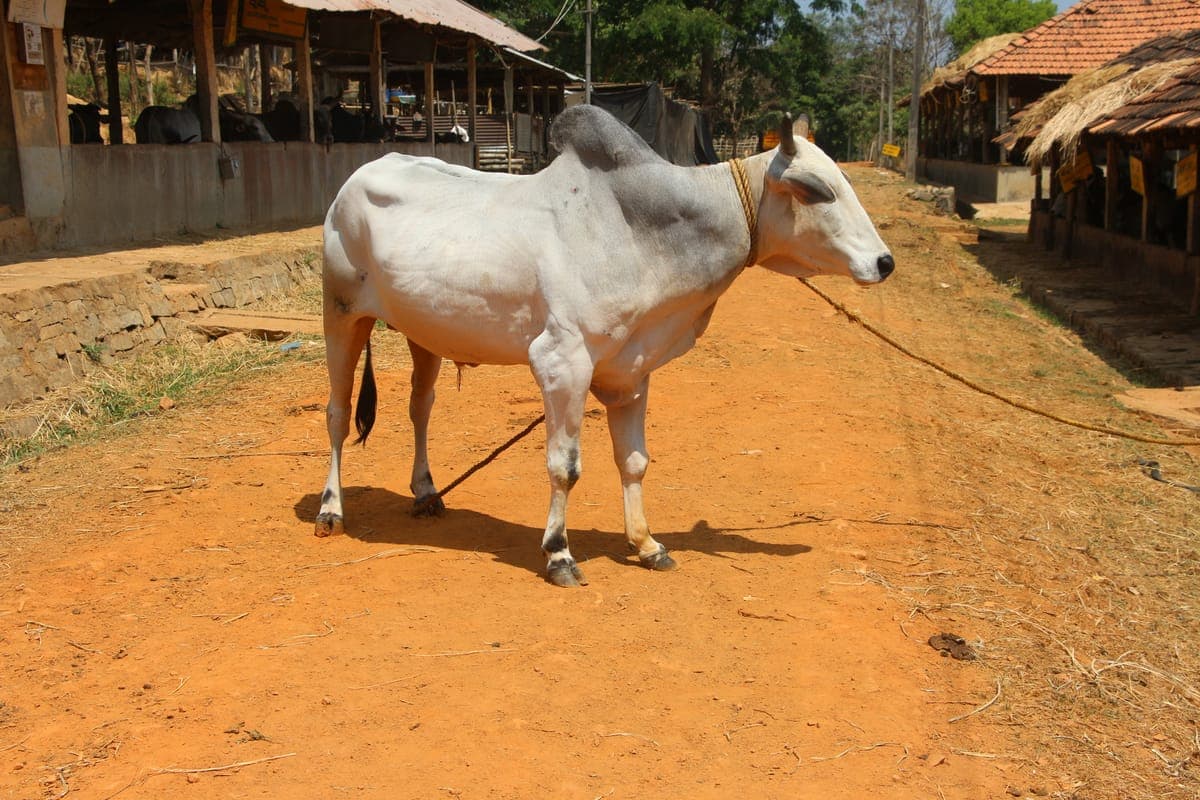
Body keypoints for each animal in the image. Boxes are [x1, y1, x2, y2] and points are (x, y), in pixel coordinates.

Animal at [315, 104, 894, 587]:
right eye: (817, 191)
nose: (884, 262)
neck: (642, 231)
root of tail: (354, 179)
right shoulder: (561, 363)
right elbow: (564, 466)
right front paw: (558, 554)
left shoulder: (631, 372)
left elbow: (634, 461)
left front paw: (647, 544)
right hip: (341, 315)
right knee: (338, 415)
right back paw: (331, 510)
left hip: (424, 333)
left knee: (421, 407)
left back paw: (426, 492)